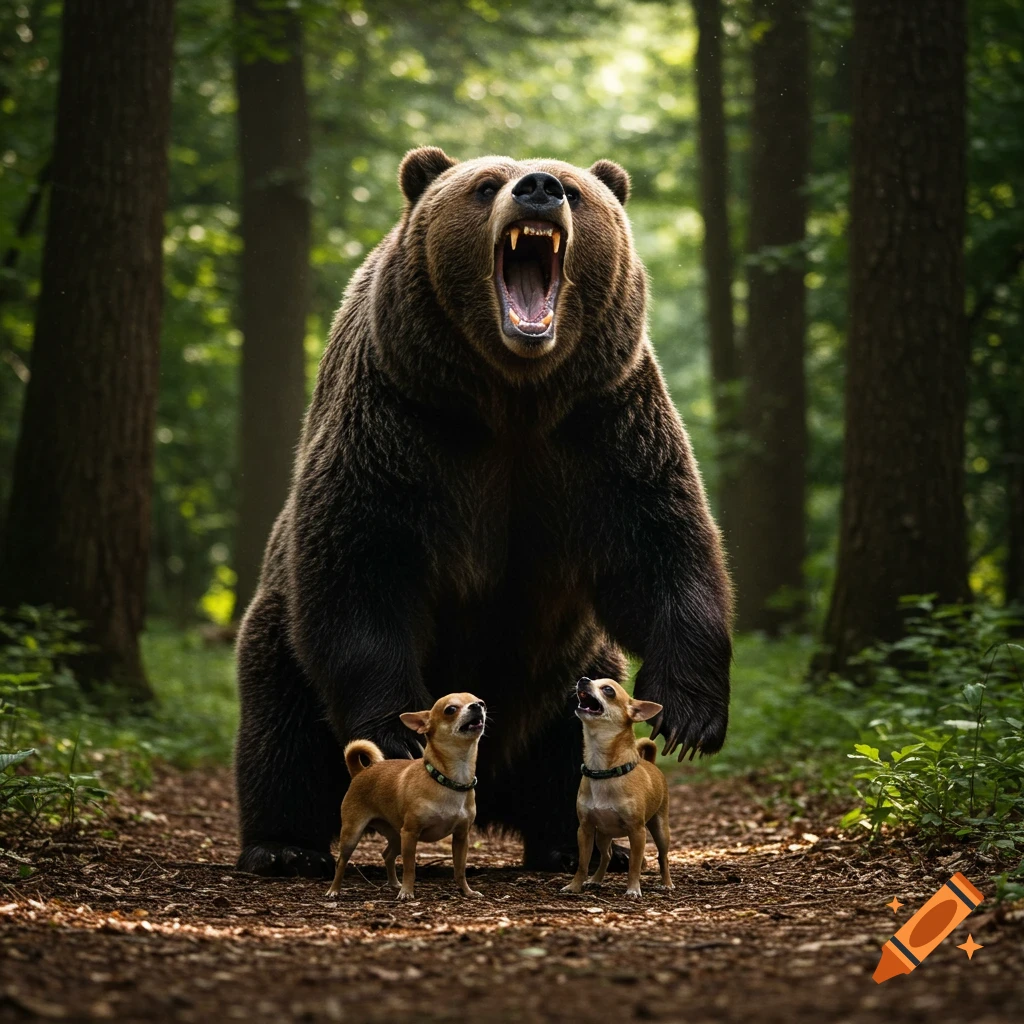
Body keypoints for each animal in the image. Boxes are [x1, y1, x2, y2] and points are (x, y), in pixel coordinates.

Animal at [234, 147, 732, 878]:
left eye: (575, 189)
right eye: (485, 185)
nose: (539, 187)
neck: (511, 395)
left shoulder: (603, 426)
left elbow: (663, 547)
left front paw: (691, 718)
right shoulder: (398, 423)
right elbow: (361, 570)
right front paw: (398, 730)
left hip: (572, 675)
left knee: (565, 753)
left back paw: (570, 841)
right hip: (283, 639)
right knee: (283, 724)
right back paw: (282, 845)